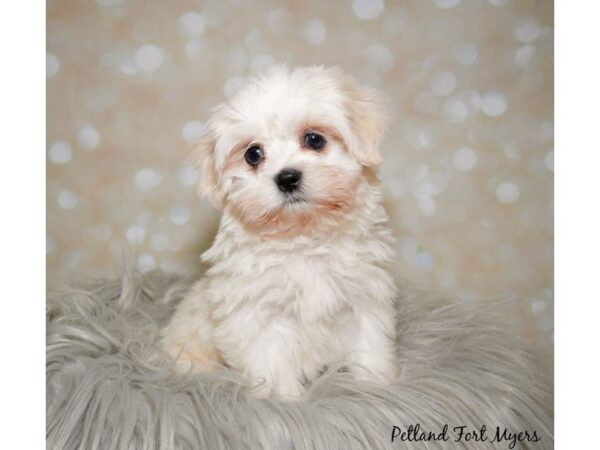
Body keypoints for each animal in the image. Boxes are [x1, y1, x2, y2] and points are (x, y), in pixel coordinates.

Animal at [162, 65, 400, 400]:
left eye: (314, 139)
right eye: (252, 154)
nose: (287, 178)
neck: (303, 238)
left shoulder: (363, 297)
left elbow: (369, 349)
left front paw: (375, 388)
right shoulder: (261, 313)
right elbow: (273, 363)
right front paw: (284, 400)